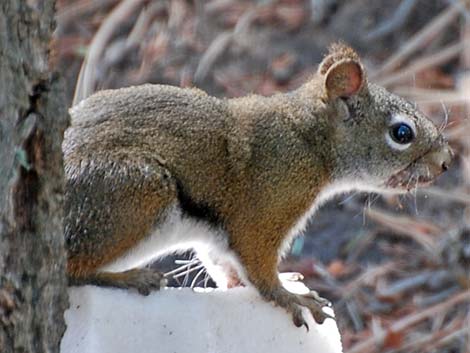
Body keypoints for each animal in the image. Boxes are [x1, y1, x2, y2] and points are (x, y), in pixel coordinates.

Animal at [62, 44, 452, 328]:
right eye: (401, 133)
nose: (447, 161)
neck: (307, 139)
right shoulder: (266, 207)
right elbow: (256, 262)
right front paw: (287, 295)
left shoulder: (221, 236)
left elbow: (223, 261)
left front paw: (254, 285)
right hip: (136, 190)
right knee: (73, 270)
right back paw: (129, 278)